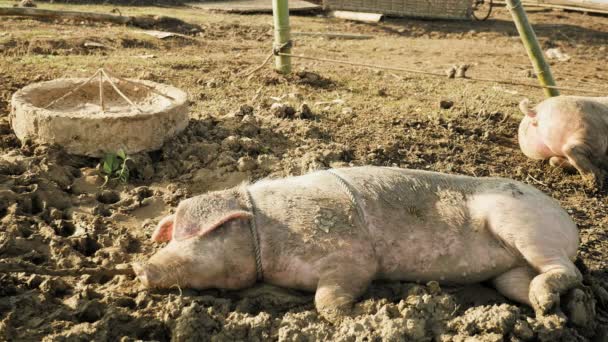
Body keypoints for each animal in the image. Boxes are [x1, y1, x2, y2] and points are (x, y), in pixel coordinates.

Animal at [133, 166, 580, 324]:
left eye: (200, 235)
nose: (141, 270)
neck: (265, 232)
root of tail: (570, 222)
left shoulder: (351, 257)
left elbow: (328, 300)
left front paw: (361, 312)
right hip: (508, 269)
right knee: (527, 283)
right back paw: (547, 313)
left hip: (523, 228)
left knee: (569, 271)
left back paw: (548, 302)